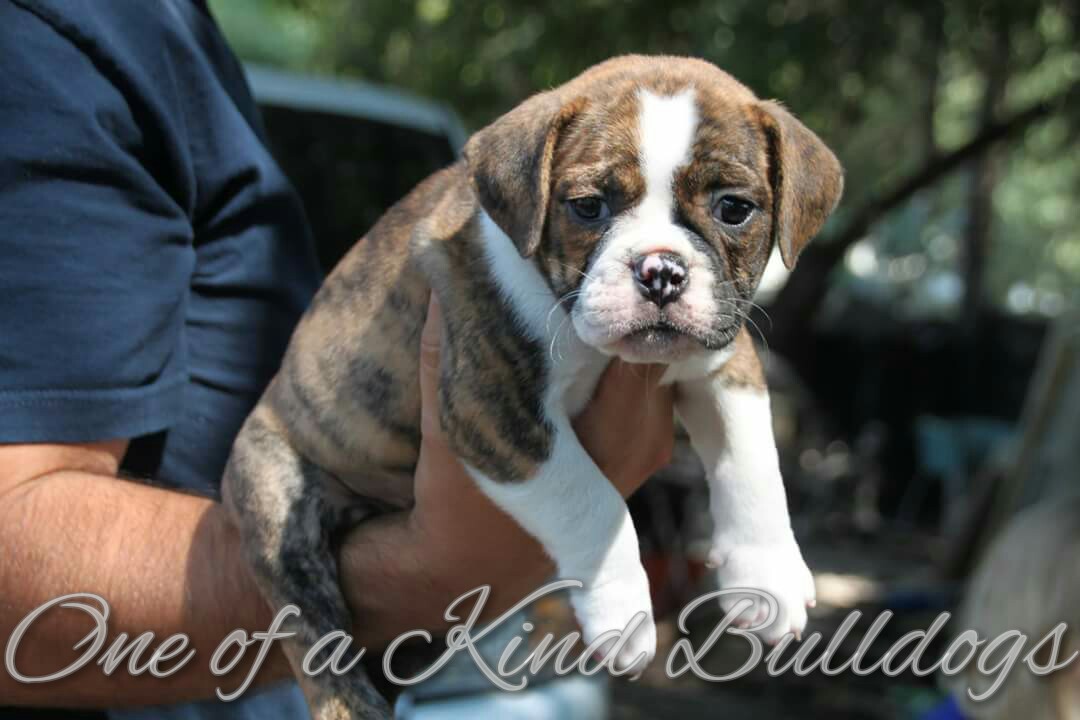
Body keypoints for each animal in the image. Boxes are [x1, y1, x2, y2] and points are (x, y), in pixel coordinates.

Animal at [222, 54, 842, 719]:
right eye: (588, 207)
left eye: (733, 209)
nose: (661, 271)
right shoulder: (495, 413)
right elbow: (592, 500)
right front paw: (622, 610)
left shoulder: (725, 361)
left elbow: (752, 463)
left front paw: (768, 574)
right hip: (279, 504)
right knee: (316, 639)